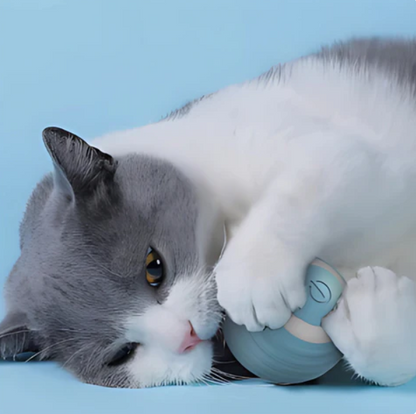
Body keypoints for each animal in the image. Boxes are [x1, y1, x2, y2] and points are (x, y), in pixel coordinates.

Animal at [2, 36, 416, 388]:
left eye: (154, 267)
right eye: (122, 353)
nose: (184, 335)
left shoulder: (329, 148)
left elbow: (304, 184)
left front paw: (254, 277)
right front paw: (377, 308)